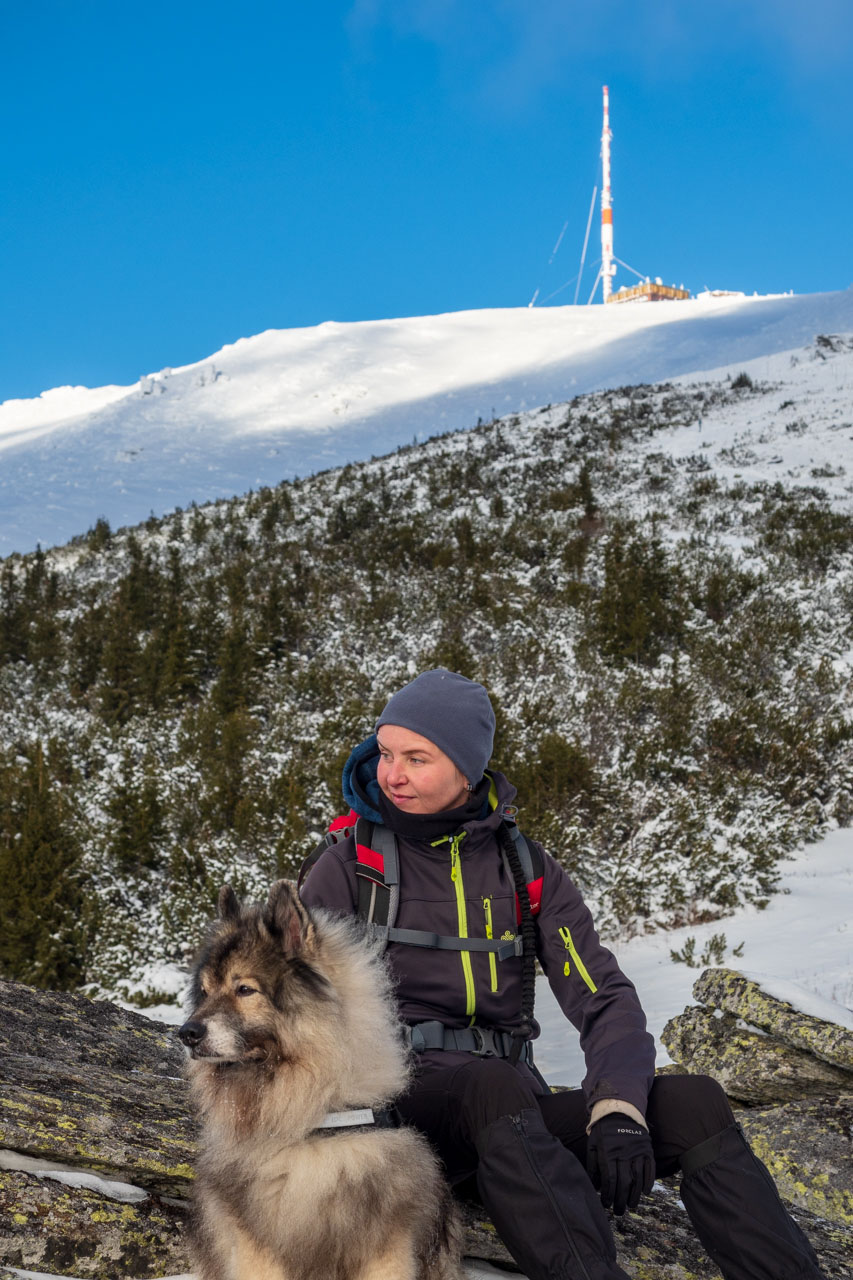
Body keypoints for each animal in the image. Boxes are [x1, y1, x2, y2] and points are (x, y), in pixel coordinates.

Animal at [175, 880, 461, 1280]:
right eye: (204, 991)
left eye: (245, 989)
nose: (186, 1033)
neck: (314, 1123)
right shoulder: (257, 1247)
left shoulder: (385, 1248)